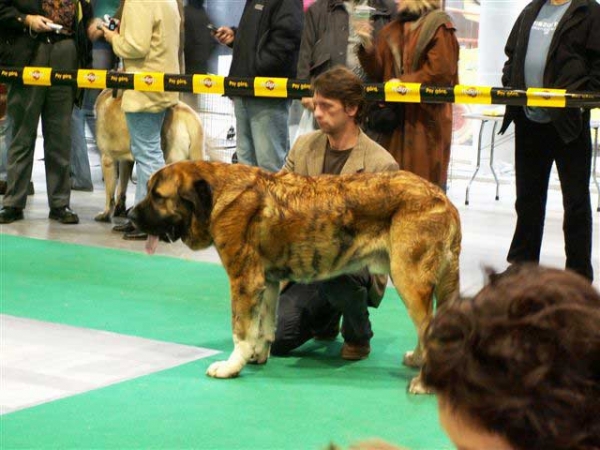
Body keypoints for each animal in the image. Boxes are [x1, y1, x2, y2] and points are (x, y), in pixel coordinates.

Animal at [94, 89, 205, 222]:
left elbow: (109, 193)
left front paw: (105, 214)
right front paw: (119, 209)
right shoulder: (126, 162)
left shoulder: (107, 159)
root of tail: (189, 116)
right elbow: (122, 187)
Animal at [129, 162, 462, 394]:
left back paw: (424, 382)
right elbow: (264, 326)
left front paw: (230, 366)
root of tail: (444, 200)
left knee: (429, 327)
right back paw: (416, 359)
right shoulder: (267, 282)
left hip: (409, 280)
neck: (218, 194)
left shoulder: (244, 280)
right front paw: (257, 356)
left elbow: (241, 329)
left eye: (157, 197)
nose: (131, 216)